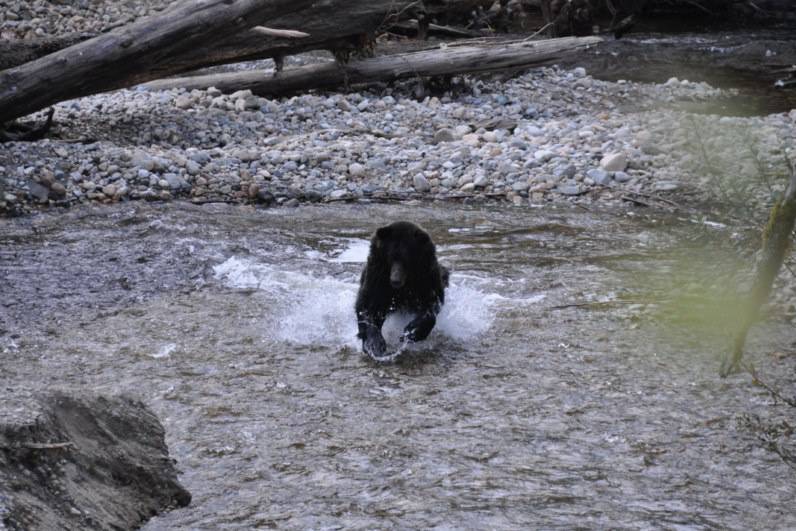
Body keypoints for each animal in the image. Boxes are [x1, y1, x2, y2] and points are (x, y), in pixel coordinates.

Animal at [354, 220, 448, 362]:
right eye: (391, 257)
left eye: (407, 259)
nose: (395, 280)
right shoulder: (377, 275)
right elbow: (368, 305)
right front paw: (375, 344)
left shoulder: (426, 276)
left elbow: (431, 303)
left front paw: (411, 332)